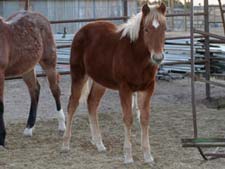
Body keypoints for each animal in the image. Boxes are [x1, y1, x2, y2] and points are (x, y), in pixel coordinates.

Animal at [0, 11, 66, 147]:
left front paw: (1, 141)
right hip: (27, 68)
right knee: (35, 89)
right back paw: (29, 128)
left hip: (49, 62)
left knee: (55, 89)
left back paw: (62, 125)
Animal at [62, 2, 166, 164]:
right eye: (146, 29)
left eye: (164, 28)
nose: (158, 57)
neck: (136, 56)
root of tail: (81, 31)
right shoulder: (125, 88)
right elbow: (128, 119)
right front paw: (128, 157)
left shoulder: (147, 88)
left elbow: (144, 119)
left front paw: (148, 156)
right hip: (79, 75)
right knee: (72, 104)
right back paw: (65, 144)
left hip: (100, 81)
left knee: (92, 103)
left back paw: (99, 144)